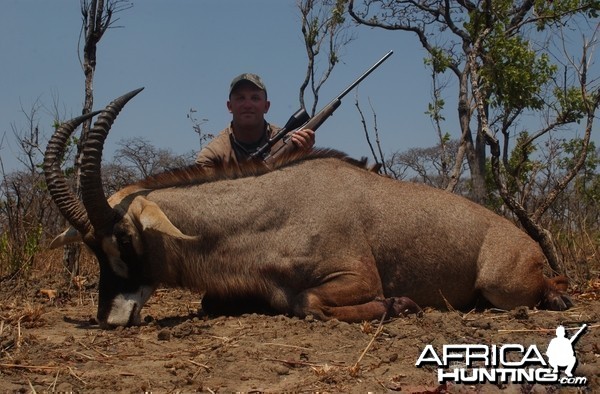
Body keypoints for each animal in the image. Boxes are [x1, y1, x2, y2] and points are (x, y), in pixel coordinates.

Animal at [44, 91, 568, 328]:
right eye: (92, 249)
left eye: (124, 239)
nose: (109, 317)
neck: (275, 210)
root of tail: (525, 243)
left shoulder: (357, 276)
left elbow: (308, 303)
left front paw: (400, 304)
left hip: (502, 286)